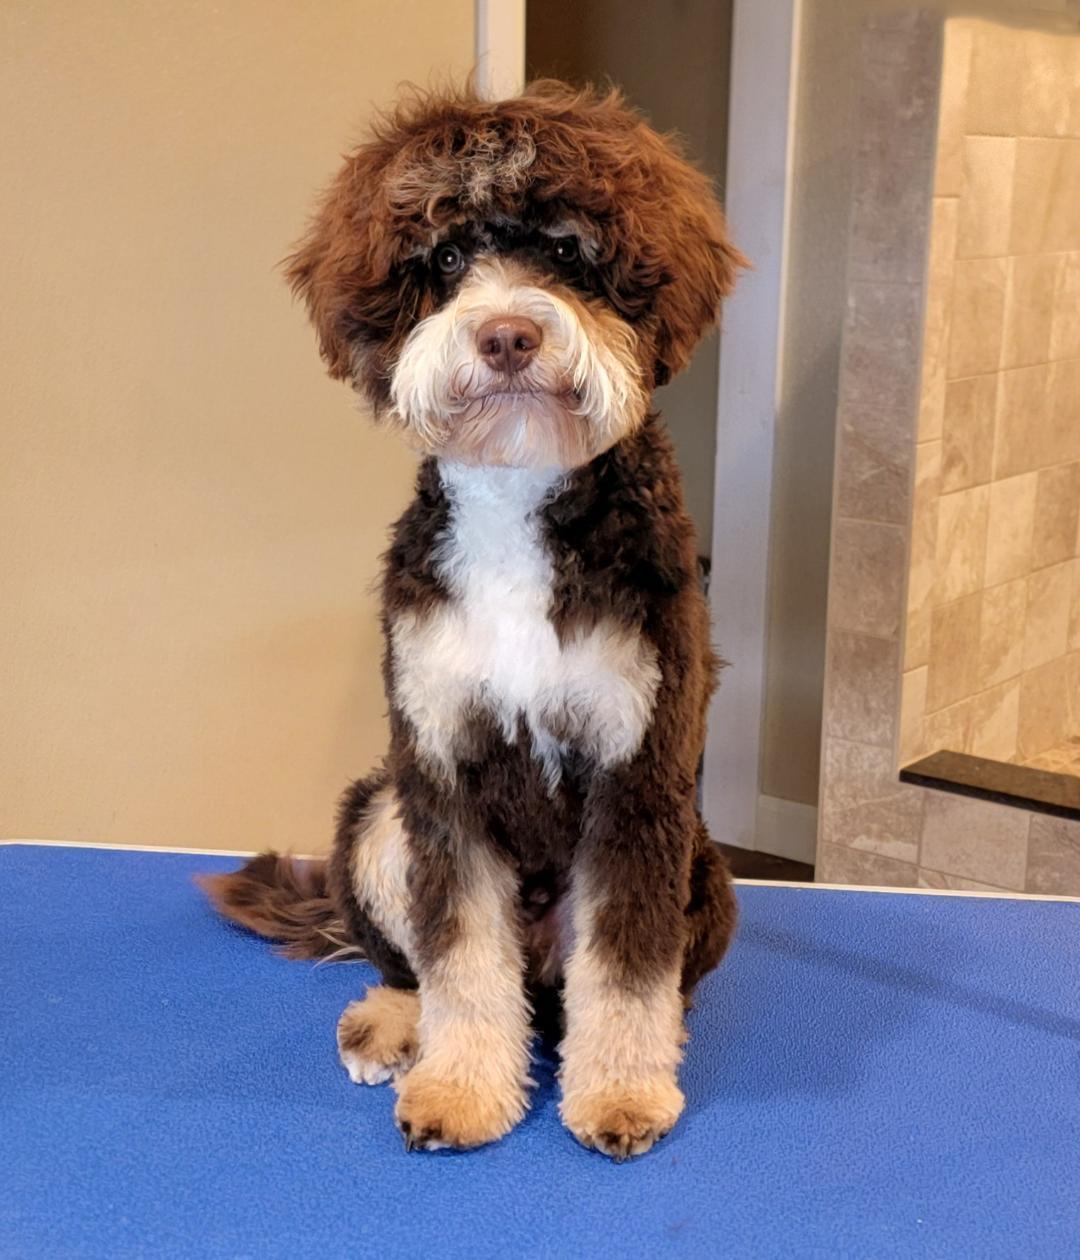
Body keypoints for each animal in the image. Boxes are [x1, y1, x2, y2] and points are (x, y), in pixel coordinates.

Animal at [201, 81, 746, 1160]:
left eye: (571, 252)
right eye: (446, 260)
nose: (505, 336)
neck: (519, 493)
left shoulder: (638, 776)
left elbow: (628, 966)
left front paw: (621, 1092)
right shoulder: (441, 772)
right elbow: (457, 956)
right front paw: (459, 1088)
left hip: (702, 865)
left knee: (618, 983)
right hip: (379, 820)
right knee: (414, 961)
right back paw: (391, 1022)